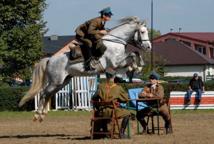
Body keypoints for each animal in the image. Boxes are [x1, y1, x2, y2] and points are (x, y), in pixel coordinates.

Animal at [18, 16, 152, 121]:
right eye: (142, 32)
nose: (149, 47)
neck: (115, 42)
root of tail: (50, 59)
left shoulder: (117, 64)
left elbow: (134, 53)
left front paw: (137, 66)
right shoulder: (115, 62)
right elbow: (132, 54)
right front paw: (136, 67)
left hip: (62, 82)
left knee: (49, 94)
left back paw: (43, 114)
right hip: (55, 81)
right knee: (44, 93)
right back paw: (37, 115)